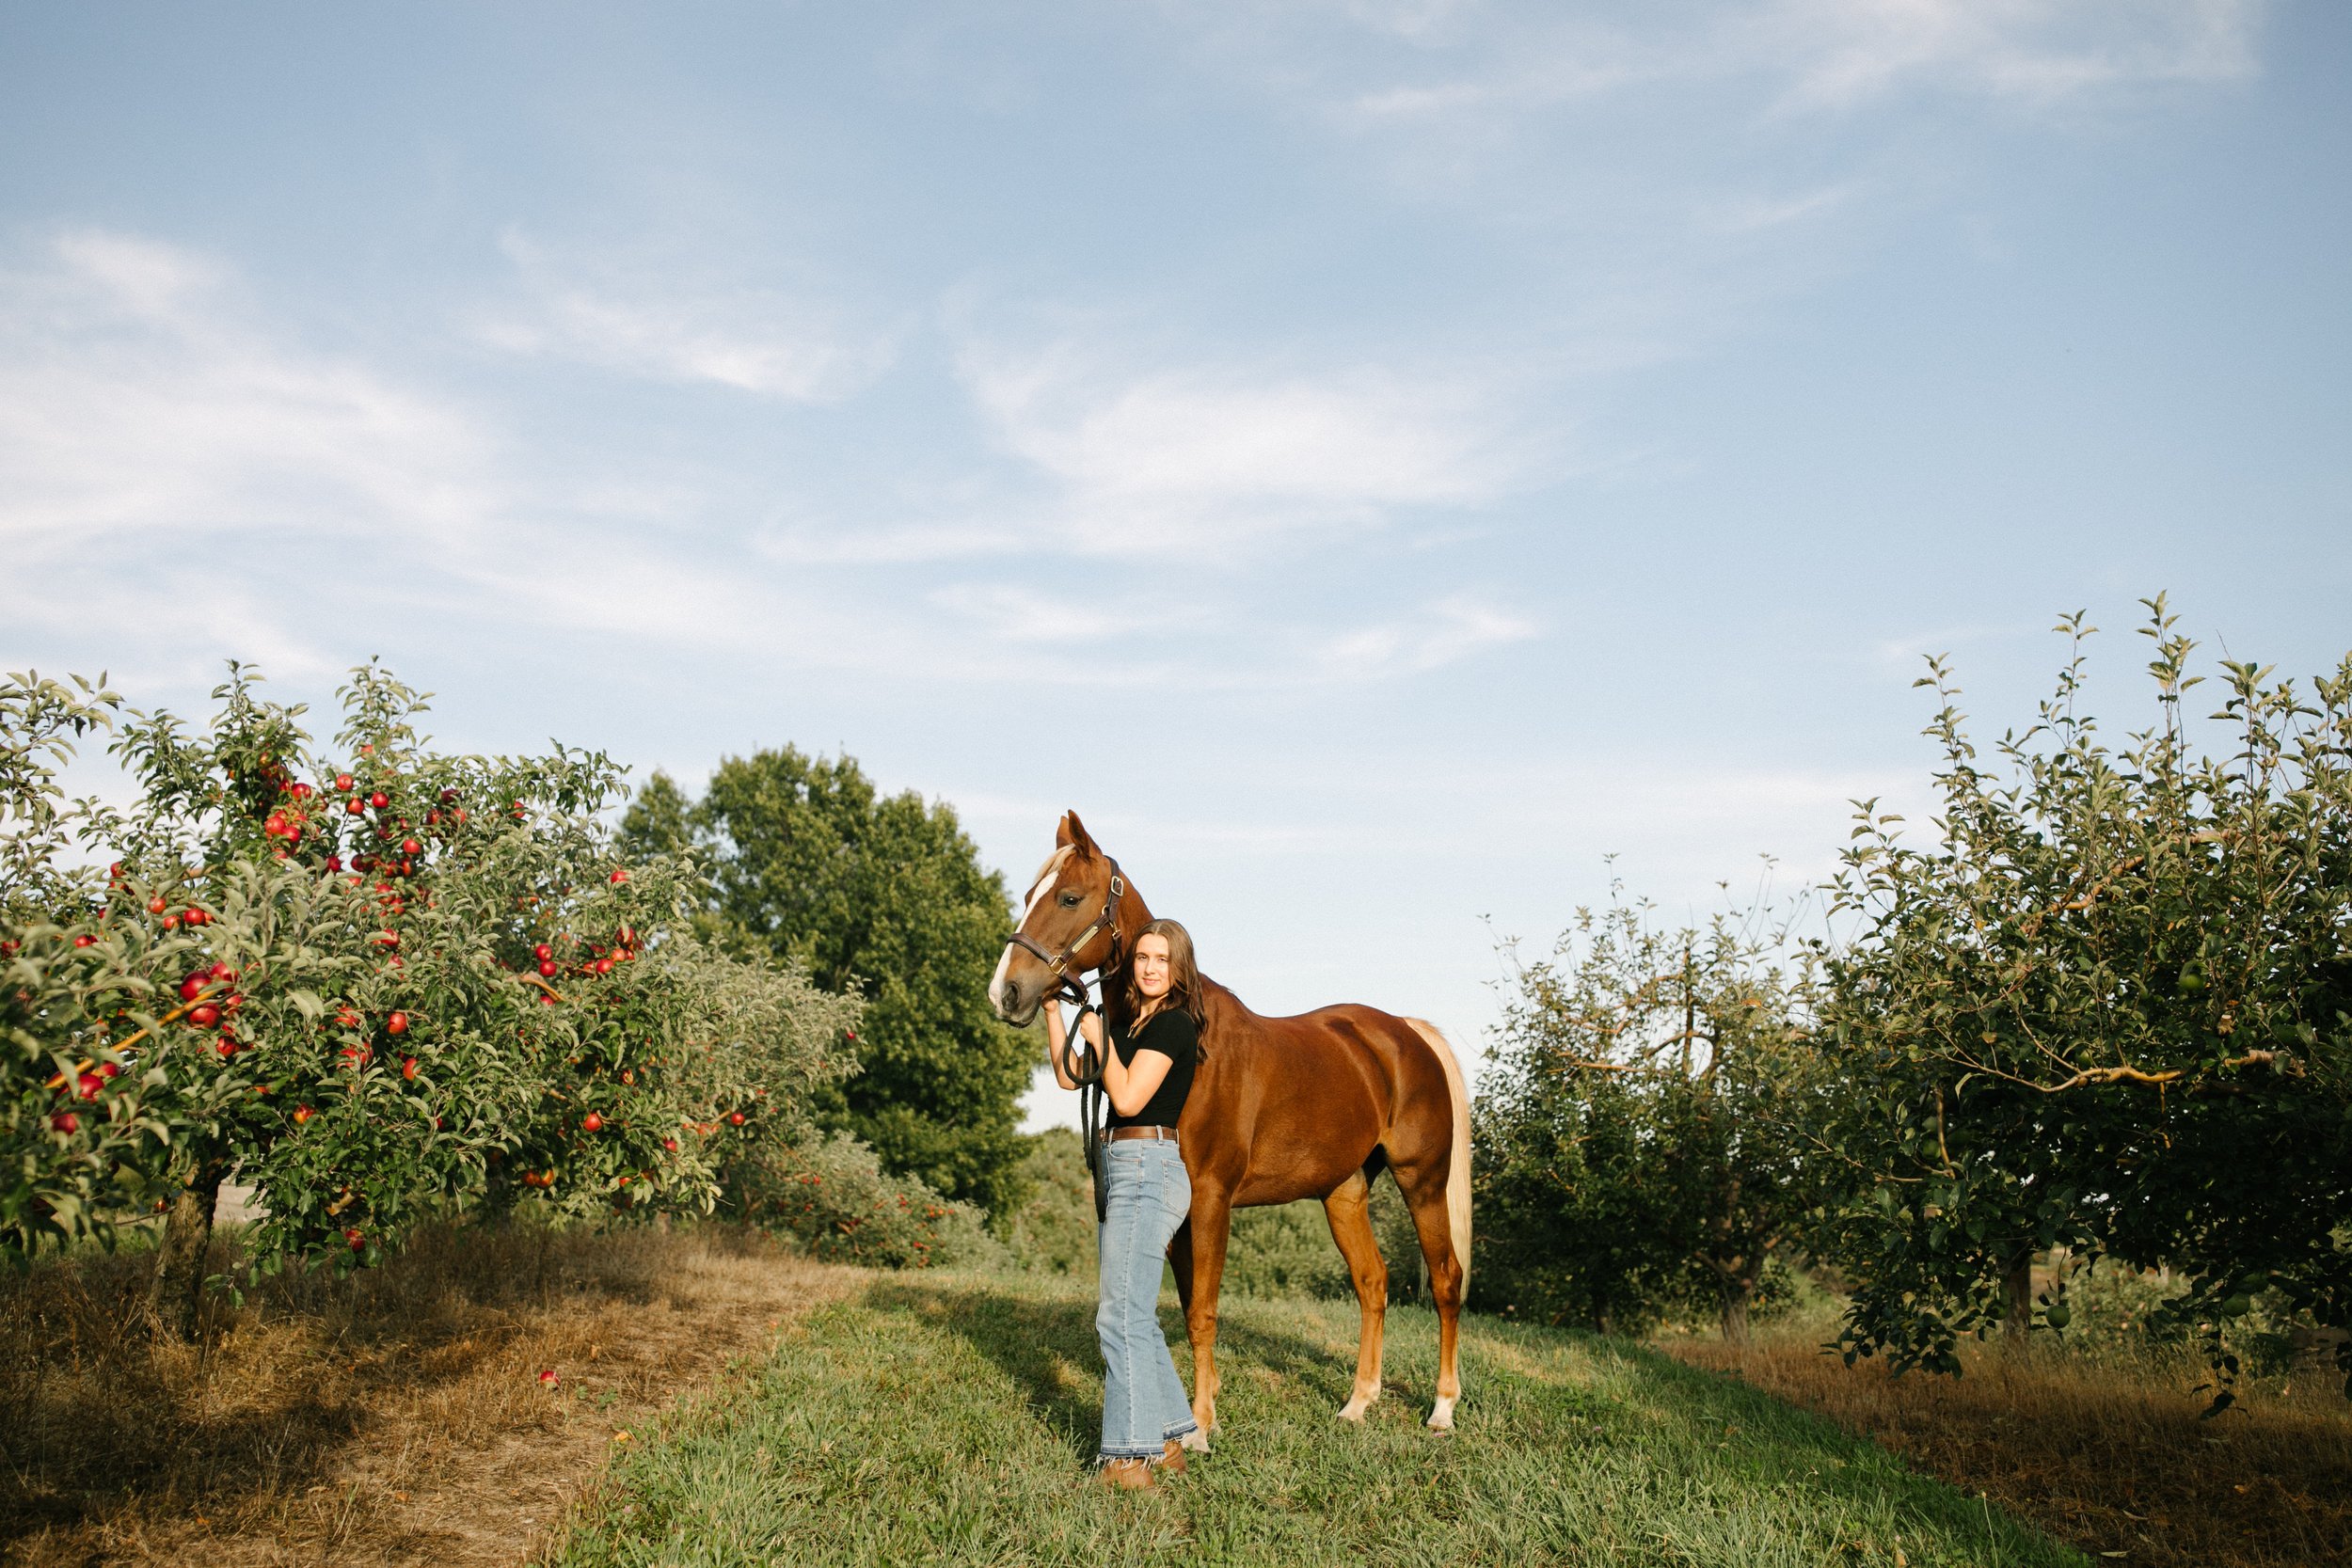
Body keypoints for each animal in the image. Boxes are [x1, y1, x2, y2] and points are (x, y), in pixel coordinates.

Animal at [988, 817, 1468, 1438]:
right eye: (1028, 897)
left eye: (1068, 898)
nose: (1006, 992)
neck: (1195, 1040)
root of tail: (1406, 1034)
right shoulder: (1182, 1209)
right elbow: (1189, 1303)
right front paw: (1197, 1411)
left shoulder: (1212, 1198)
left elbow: (1203, 1310)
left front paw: (1201, 1424)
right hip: (1344, 1193)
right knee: (1373, 1283)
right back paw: (1358, 1403)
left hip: (1423, 1182)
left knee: (1446, 1281)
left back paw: (1442, 1409)